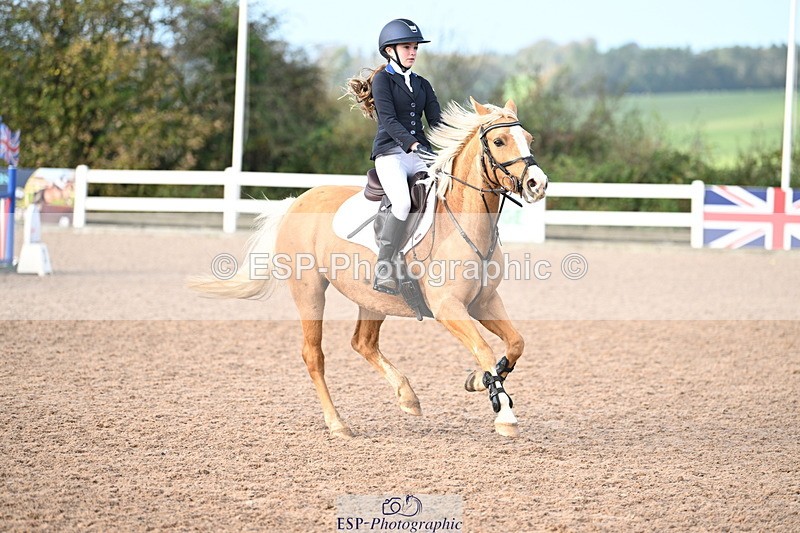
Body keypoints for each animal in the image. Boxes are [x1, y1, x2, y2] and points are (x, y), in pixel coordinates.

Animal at [189, 97, 548, 438]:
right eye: (499, 141)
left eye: (529, 138)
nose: (537, 184)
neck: (461, 221)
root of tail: (296, 202)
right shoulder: (449, 307)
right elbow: (483, 349)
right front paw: (504, 413)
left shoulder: (484, 302)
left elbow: (516, 343)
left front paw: (478, 380)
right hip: (310, 291)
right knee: (314, 355)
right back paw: (338, 424)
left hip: (372, 298)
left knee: (363, 343)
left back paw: (407, 396)